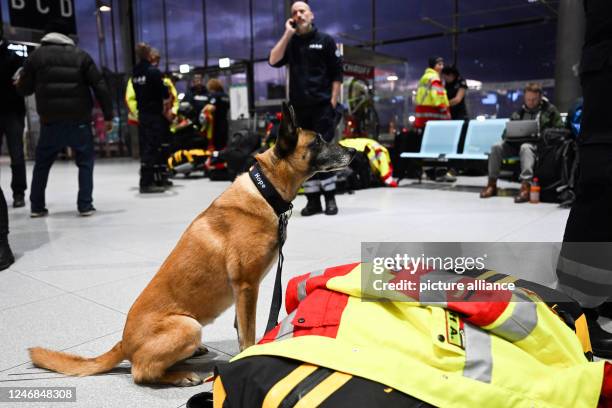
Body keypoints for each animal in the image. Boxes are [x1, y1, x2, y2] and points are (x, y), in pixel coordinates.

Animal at [27, 102, 354, 386]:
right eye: (318, 141)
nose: (353, 151)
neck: (266, 190)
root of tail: (123, 343)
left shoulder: (242, 292)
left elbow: (240, 329)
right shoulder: (247, 286)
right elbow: (247, 334)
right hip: (188, 325)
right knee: (141, 372)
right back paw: (179, 375)